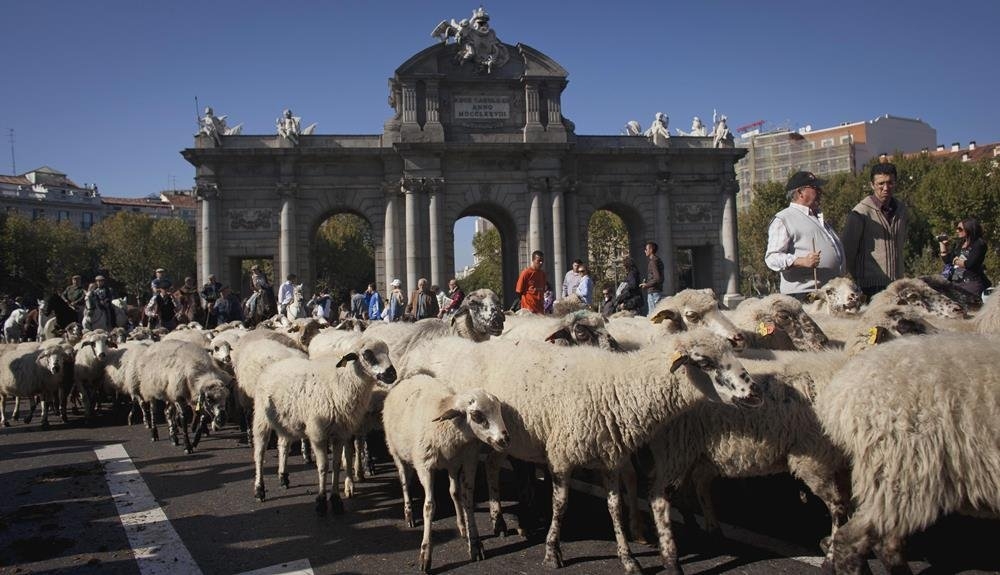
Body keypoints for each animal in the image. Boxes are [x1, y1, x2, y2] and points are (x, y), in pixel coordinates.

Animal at [250, 336, 398, 516]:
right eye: (367, 355)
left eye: (387, 352)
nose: (392, 374)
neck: (343, 382)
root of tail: (273, 365)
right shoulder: (318, 433)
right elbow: (323, 467)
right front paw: (321, 501)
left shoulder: (340, 433)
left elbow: (336, 465)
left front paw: (336, 500)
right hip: (261, 417)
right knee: (259, 453)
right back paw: (259, 490)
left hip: (286, 421)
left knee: (283, 445)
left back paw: (283, 478)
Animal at [380, 376, 512, 572]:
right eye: (476, 415)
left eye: (499, 409)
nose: (505, 439)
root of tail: (410, 378)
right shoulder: (425, 466)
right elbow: (429, 507)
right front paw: (425, 554)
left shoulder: (468, 460)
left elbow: (466, 500)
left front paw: (474, 543)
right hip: (396, 453)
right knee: (405, 483)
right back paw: (409, 514)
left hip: (452, 466)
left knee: (454, 492)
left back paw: (462, 527)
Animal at [406, 330, 756, 572]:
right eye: (704, 362)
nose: (753, 392)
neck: (617, 388)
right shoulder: (562, 455)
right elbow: (560, 504)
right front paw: (552, 551)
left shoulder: (610, 458)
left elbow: (615, 507)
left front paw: (628, 559)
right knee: (468, 485)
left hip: (501, 438)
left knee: (492, 466)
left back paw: (499, 521)